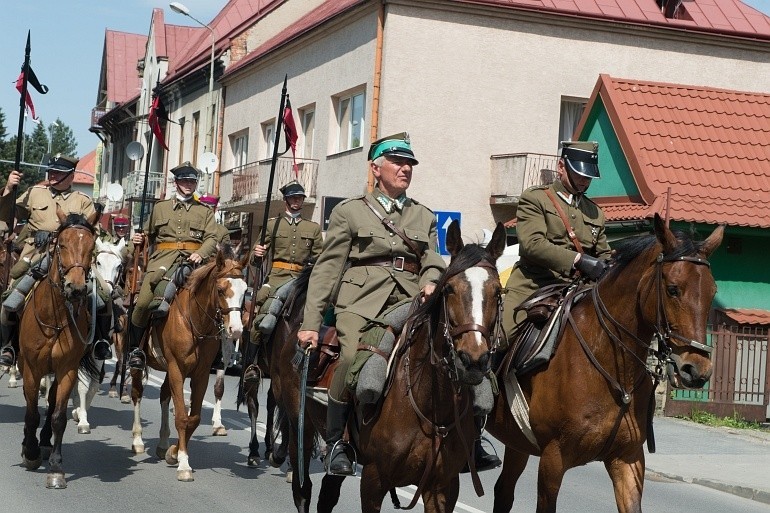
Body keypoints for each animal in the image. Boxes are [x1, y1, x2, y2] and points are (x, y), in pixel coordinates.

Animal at [16, 207, 100, 488]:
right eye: (61, 244)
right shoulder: (32, 369)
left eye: (91, 246)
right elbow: (31, 413)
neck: (55, 319)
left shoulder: (67, 370)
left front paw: (55, 467)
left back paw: (43, 442)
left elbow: (58, 416)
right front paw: (30, 452)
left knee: (51, 403)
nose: (76, 288)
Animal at [127, 248, 246, 480]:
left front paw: (175, 452)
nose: (236, 330)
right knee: (137, 393)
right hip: (140, 363)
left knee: (164, 395)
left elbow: (194, 418)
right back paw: (137, 441)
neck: (195, 321)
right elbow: (182, 416)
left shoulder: (200, 374)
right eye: (220, 289)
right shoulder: (177, 369)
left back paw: (163, 443)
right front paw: (183, 465)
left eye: (245, 290)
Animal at [272, 220, 510, 512]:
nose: (473, 360)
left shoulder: (442, 487)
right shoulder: (374, 480)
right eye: (449, 289)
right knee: (302, 489)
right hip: (300, 429)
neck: (430, 405)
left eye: (497, 292)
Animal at [488, 212, 724, 512]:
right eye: (673, 289)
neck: (612, 366)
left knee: (504, 491)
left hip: (517, 441)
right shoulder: (553, 458)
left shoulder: (628, 459)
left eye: (712, 291)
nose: (697, 370)